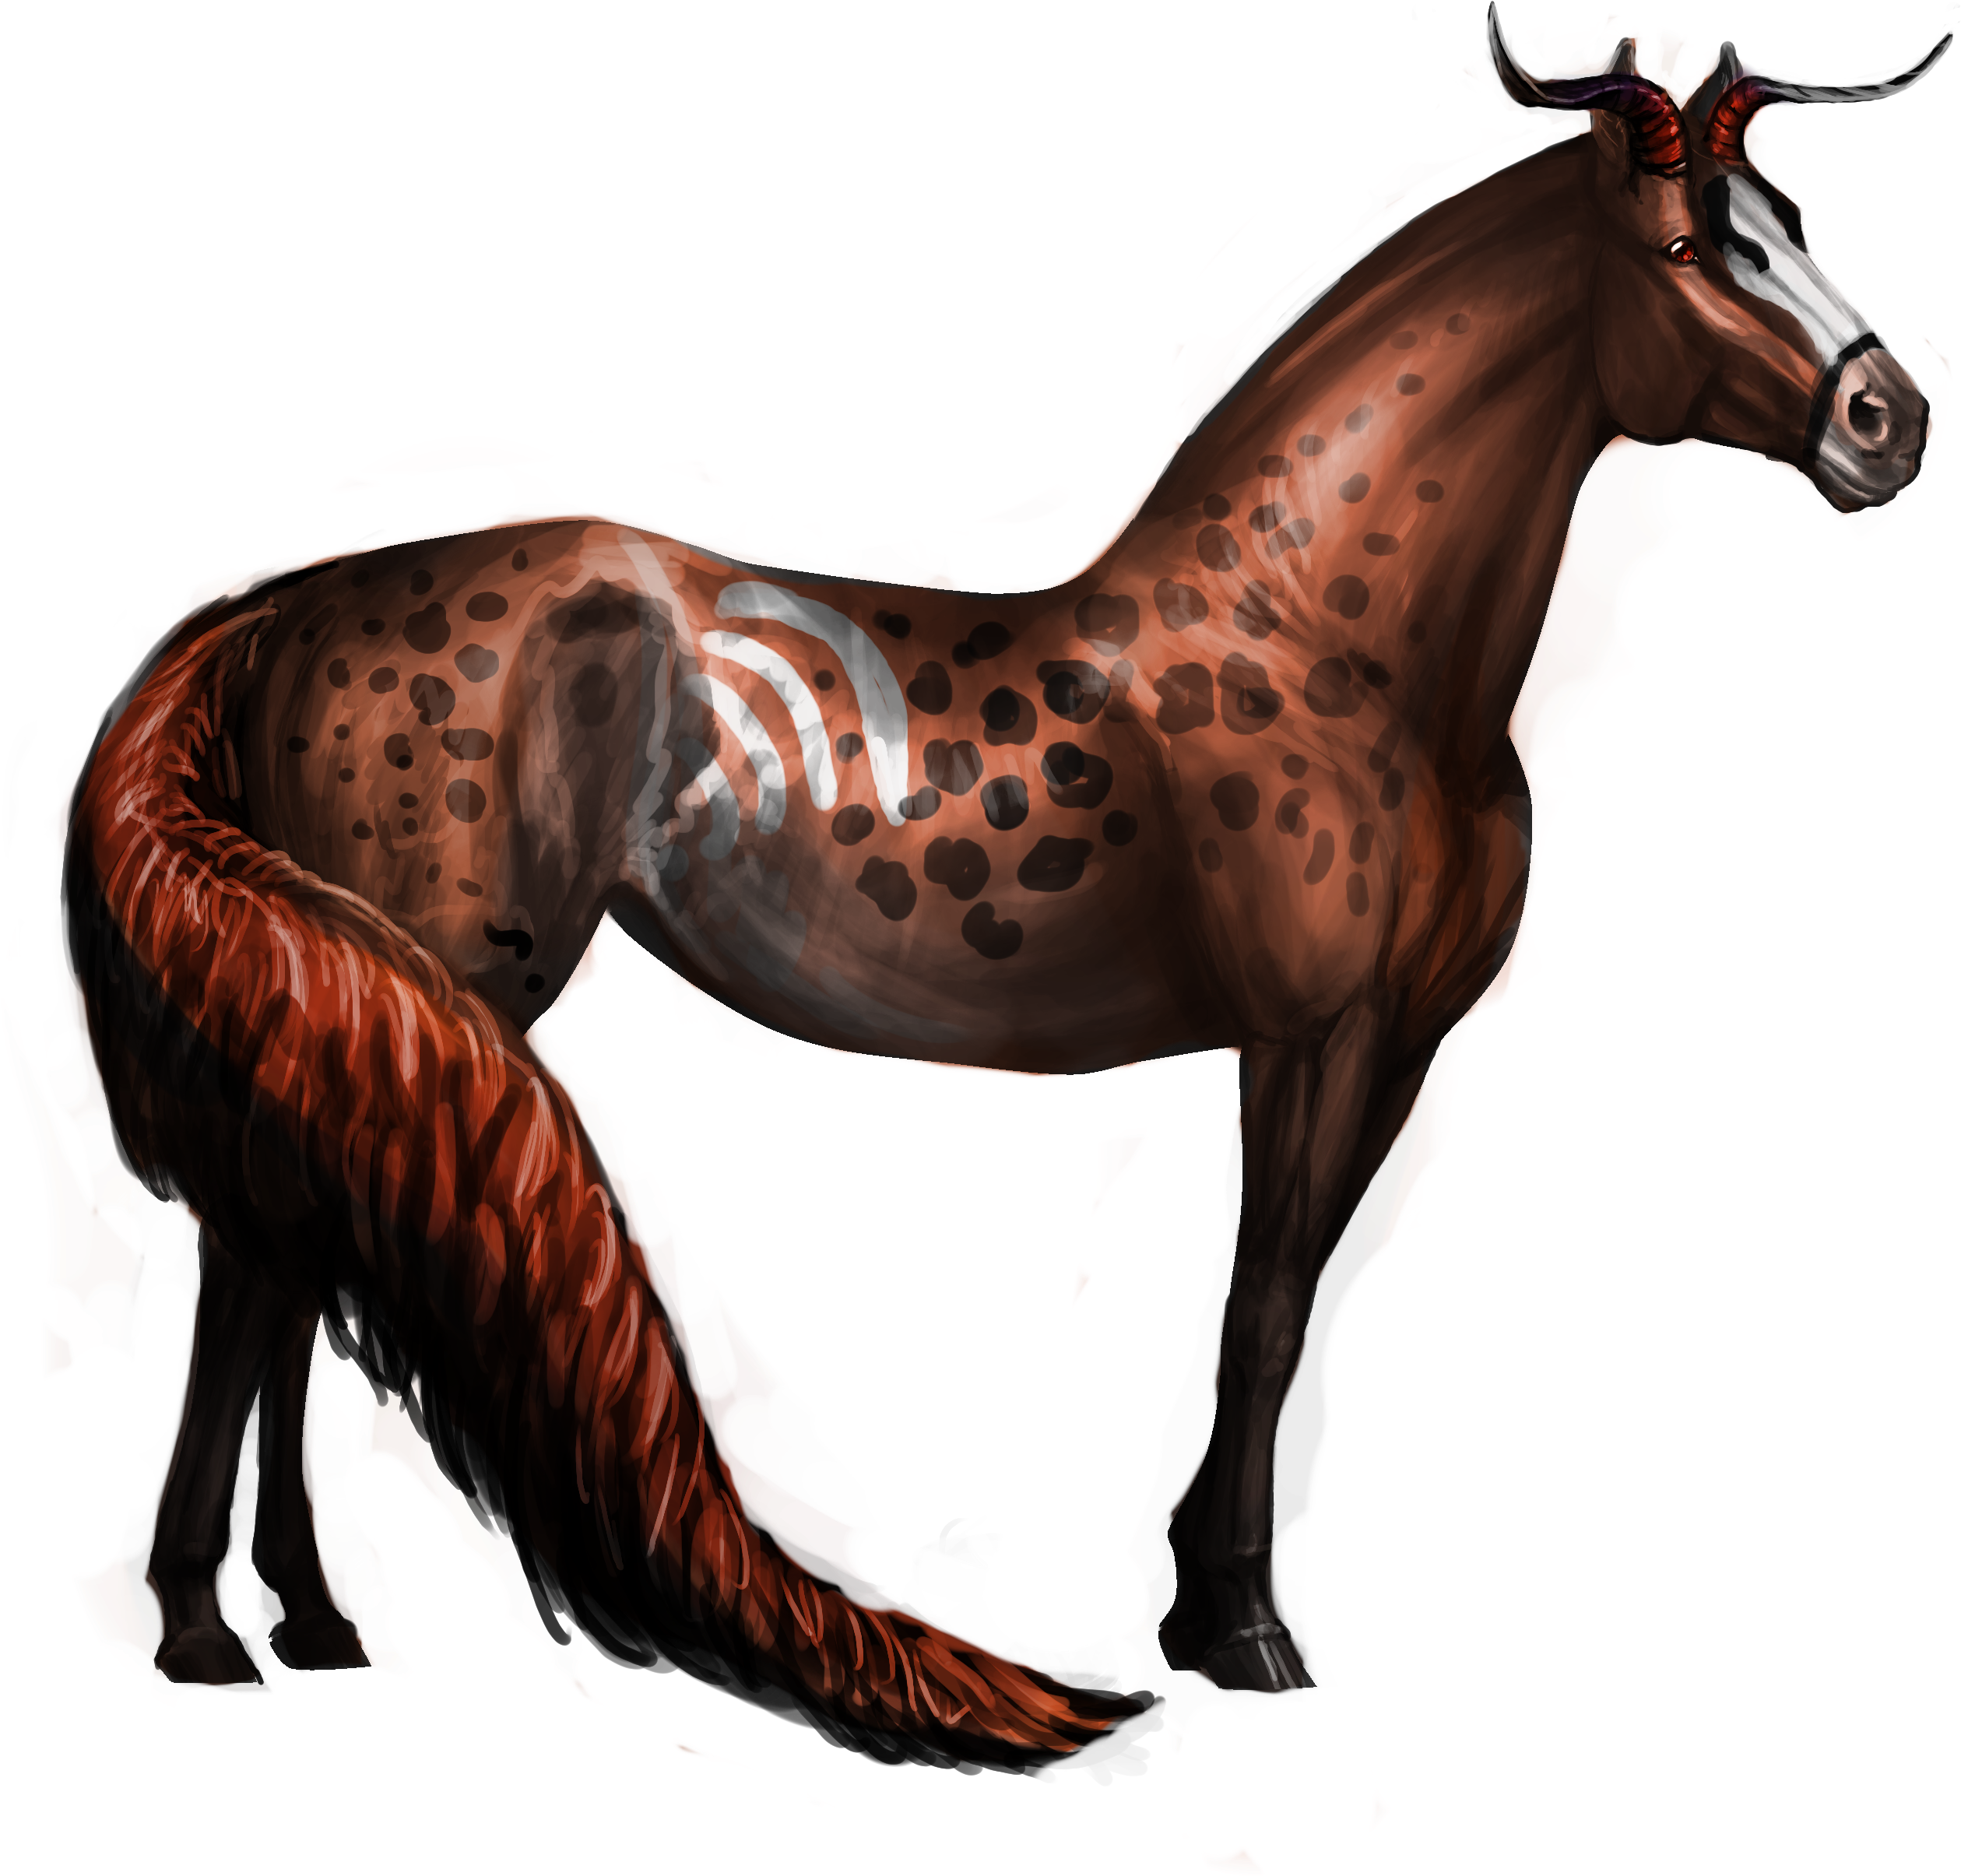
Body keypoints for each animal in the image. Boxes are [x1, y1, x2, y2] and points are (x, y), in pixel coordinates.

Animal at [50, 13, 1945, 1768]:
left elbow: (1300, 1296)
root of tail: (283, 601)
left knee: (274, 1261)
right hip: (441, 971)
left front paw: (1218, 1615)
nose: (1887, 416)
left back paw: (307, 1631)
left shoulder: (1403, 1045)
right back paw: (218, 1638)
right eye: (1690, 246)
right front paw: (1239, 1641)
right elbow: (1262, 1306)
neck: (1324, 633)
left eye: (1790, 218)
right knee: (264, 1270)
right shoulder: (1308, 1033)